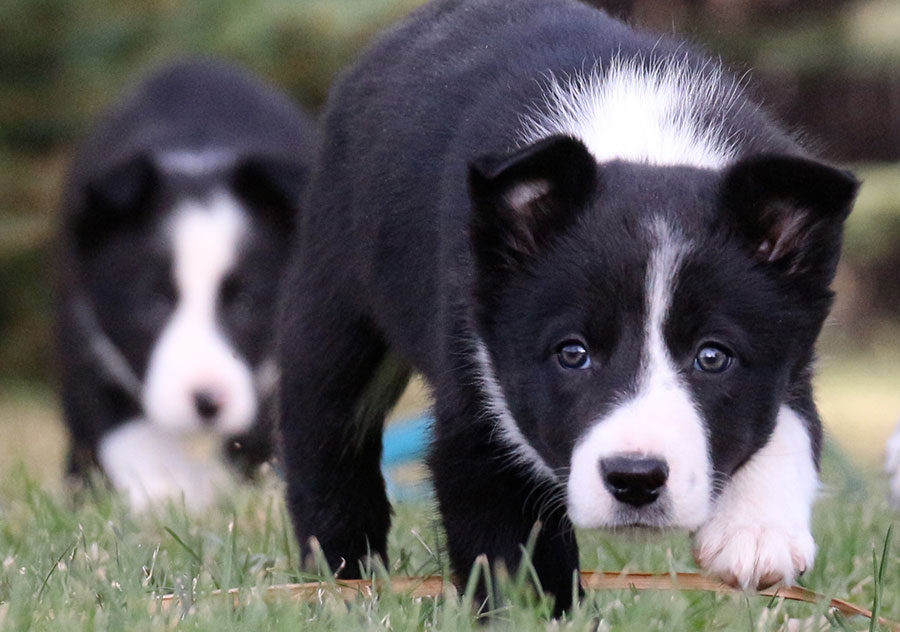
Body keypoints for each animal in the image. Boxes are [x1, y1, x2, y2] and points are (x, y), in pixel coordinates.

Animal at [56, 59, 316, 512]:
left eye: (247, 303)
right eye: (154, 303)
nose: (208, 401)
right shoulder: (82, 335)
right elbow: (123, 430)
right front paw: (161, 497)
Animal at [278, 0, 860, 612]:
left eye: (713, 357)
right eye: (572, 353)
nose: (635, 478)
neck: (642, 138)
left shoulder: (793, 350)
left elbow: (791, 422)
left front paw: (755, 534)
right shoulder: (478, 384)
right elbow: (505, 530)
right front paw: (538, 611)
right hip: (333, 299)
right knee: (325, 430)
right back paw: (345, 576)